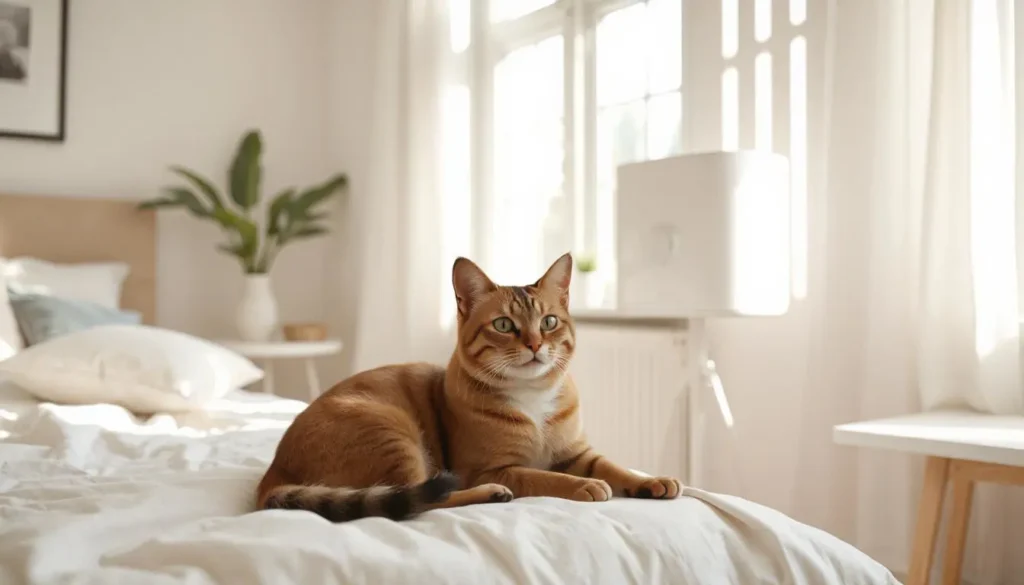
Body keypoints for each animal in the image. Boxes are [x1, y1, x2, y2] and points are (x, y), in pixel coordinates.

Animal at [256, 253, 679, 522]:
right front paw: (585, 485)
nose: (534, 345)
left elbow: (614, 465)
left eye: (549, 322)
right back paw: (490, 494)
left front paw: (652, 481)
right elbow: (544, 477)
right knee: (420, 500)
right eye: (504, 325)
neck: (532, 399)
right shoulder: (492, 467)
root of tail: (275, 470)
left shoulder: (578, 451)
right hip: (389, 429)